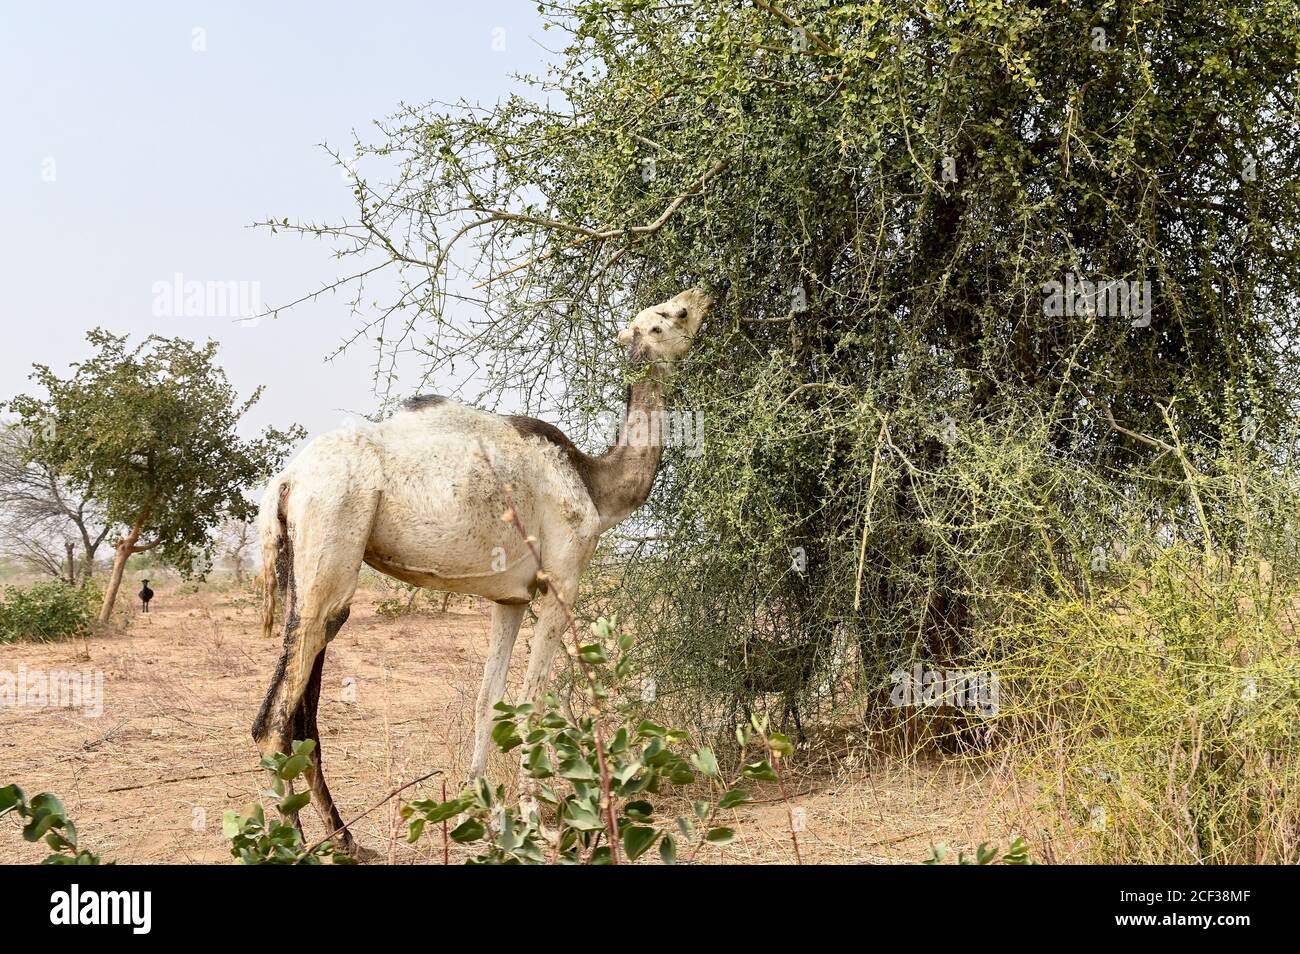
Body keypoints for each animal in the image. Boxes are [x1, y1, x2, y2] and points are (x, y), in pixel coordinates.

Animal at [250, 287, 712, 857]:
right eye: (671, 315)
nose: (702, 293)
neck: (595, 486)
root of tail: (286, 482)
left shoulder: (509, 600)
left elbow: (489, 703)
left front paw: (484, 809)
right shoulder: (562, 583)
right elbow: (533, 704)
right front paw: (538, 822)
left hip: (306, 566)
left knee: (303, 711)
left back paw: (348, 843)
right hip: (333, 530)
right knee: (276, 718)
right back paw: (296, 843)